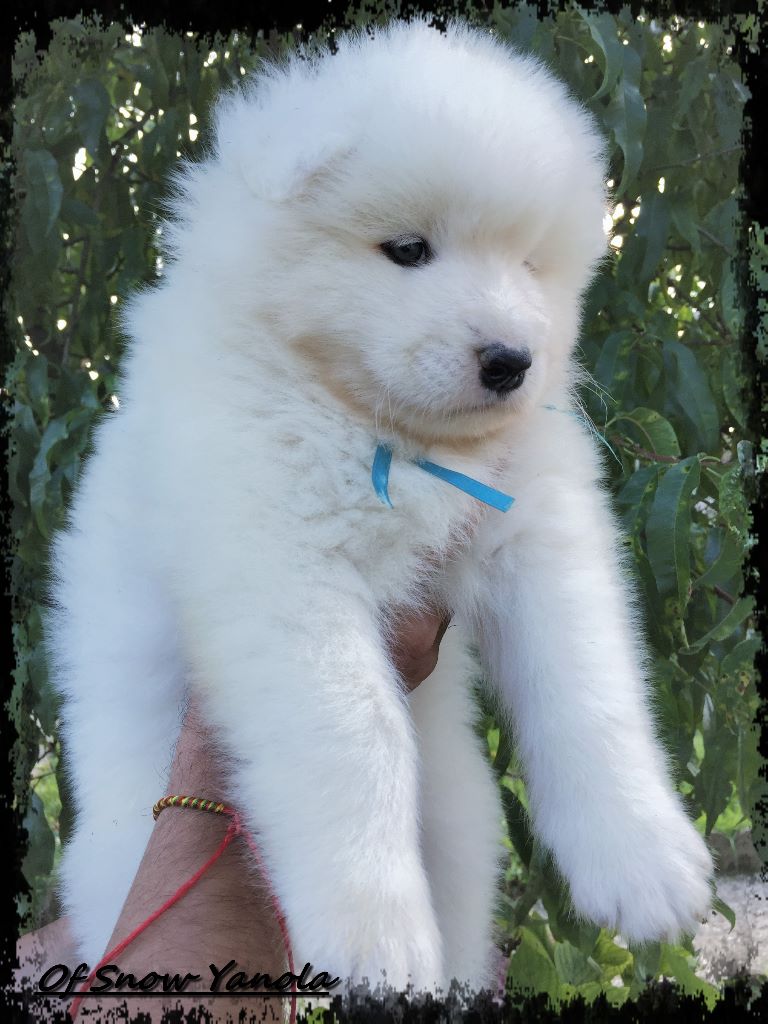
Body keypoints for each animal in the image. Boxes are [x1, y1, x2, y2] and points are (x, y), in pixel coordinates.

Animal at [48, 18, 713, 993]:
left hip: (464, 821)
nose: (512, 360)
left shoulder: (538, 537)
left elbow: (589, 689)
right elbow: (355, 734)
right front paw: (373, 936)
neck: (395, 437)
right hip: (123, 830)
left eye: (529, 262)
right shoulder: (282, 566)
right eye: (407, 250)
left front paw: (645, 862)